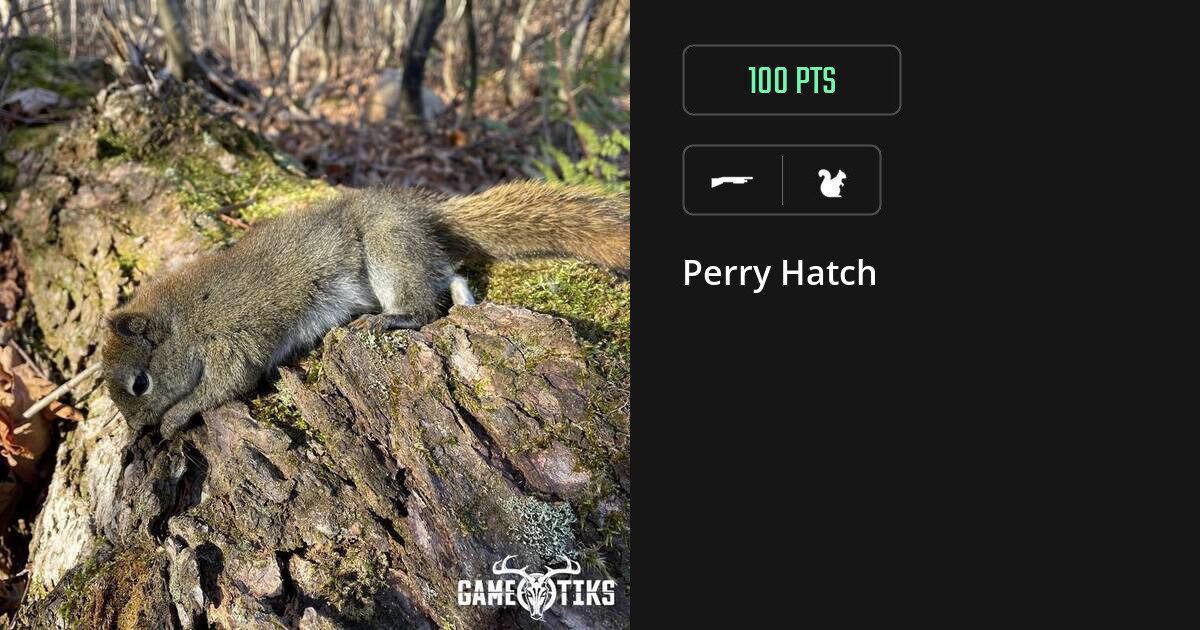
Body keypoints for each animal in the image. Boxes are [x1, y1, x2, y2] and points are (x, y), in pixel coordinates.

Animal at [101, 182, 629, 438]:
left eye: (140, 383)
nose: (138, 434)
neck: (186, 318)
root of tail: (418, 214)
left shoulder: (232, 340)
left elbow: (227, 383)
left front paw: (175, 418)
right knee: (449, 274)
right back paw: (464, 302)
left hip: (387, 251)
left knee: (425, 304)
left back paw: (398, 317)